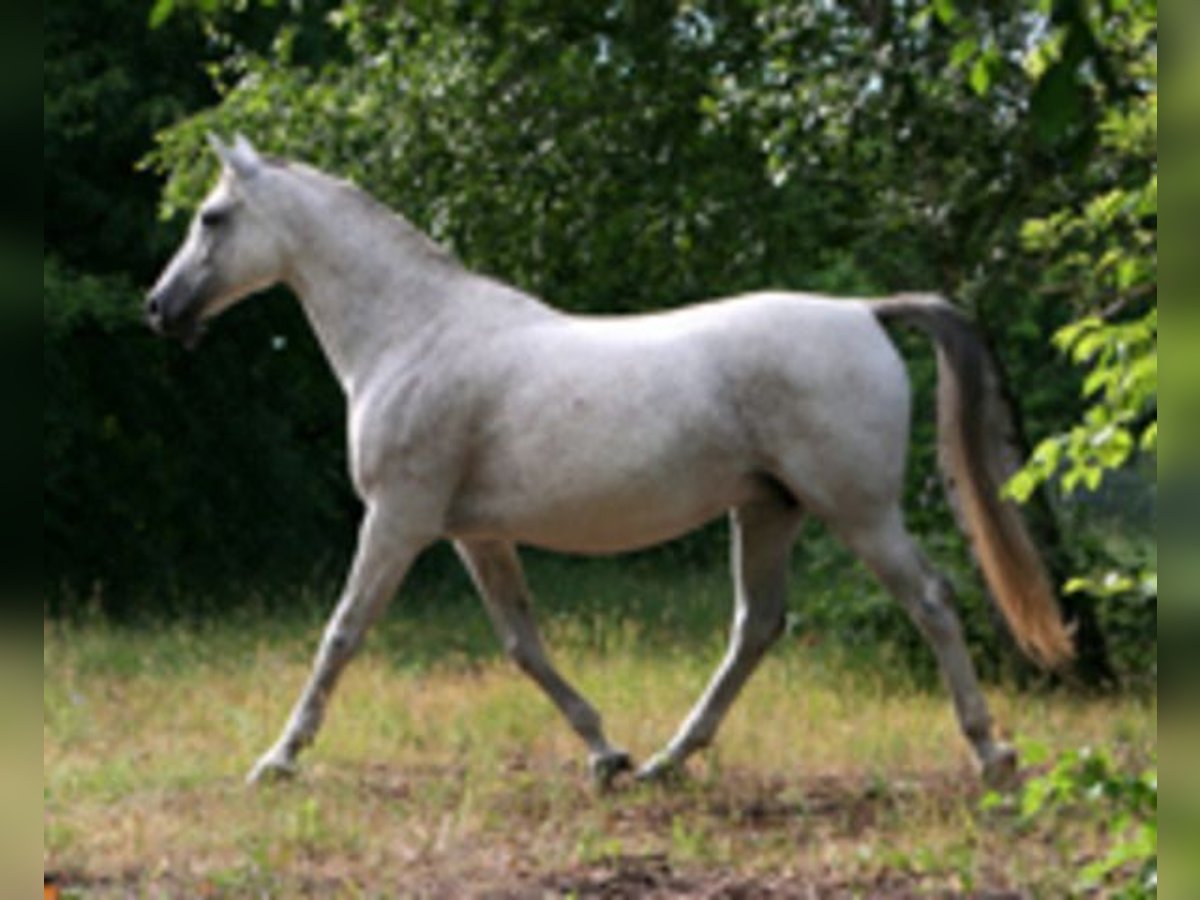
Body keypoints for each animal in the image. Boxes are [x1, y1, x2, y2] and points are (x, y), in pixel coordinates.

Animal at [145, 133, 1075, 787]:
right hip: (766, 509)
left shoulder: (398, 519)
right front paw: (605, 753)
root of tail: (863, 312)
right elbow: (523, 643)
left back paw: (991, 755)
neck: (413, 333)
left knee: (931, 601)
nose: (160, 307)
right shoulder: (474, 534)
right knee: (756, 627)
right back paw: (667, 761)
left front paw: (277, 760)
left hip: (858, 512)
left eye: (212, 217)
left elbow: (342, 633)